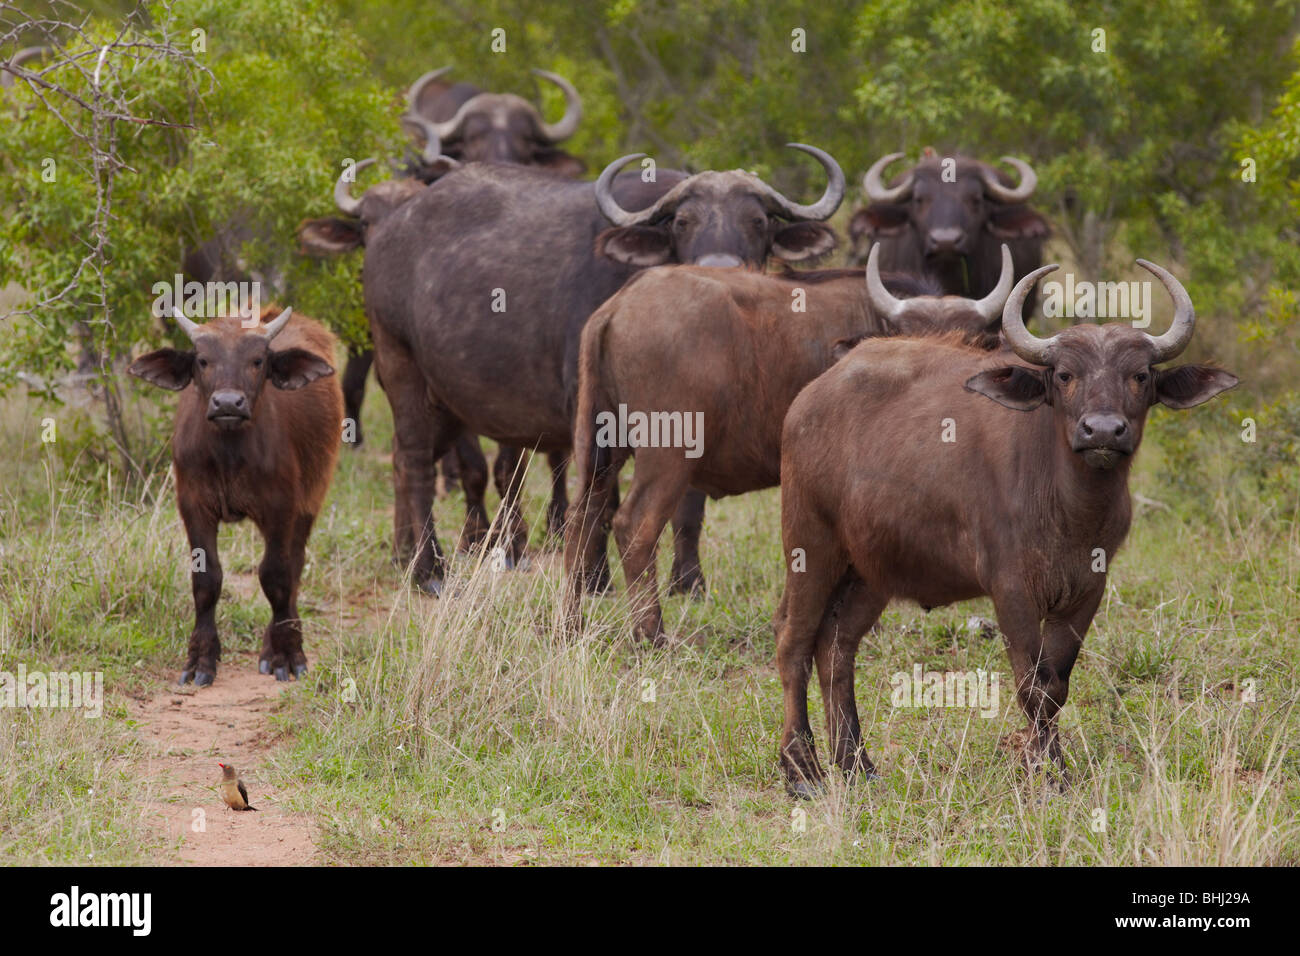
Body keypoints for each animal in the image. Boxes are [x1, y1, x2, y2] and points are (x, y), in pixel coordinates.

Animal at [774, 255, 1237, 796]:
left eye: (1140, 375)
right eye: (1064, 375)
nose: (1102, 430)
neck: (1069, 508)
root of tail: (809, 398)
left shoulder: (1087, 590)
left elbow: (1057, 683)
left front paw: (1050, 765)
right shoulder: (1011, 589)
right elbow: (1031, 684)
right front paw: (1047, 771)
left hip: (871, 571)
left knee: (836, 647)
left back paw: (855, 764)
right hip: (809, 544)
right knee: (794, 643)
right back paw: (801, 768)